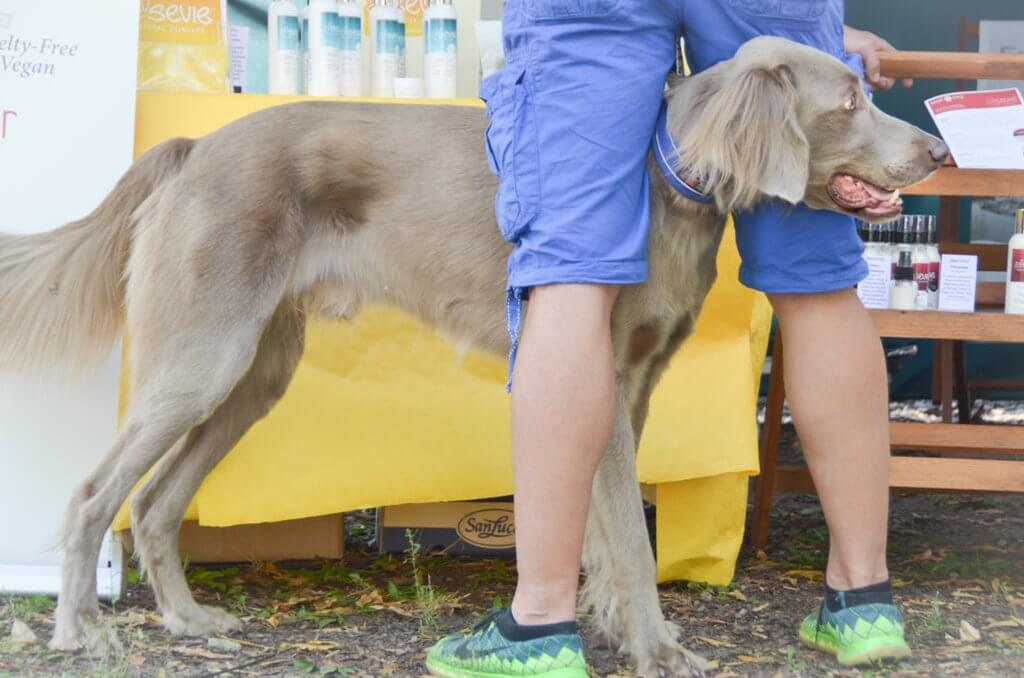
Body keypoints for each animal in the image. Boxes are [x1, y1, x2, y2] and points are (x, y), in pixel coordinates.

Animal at [0, 37, 946, 676]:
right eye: (849, 100)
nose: (939, 150)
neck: (659, 177)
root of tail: (195, 150)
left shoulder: (637, 387)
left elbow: (605, 535)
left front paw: (613, 627)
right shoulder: (604, 382)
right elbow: (631, 542)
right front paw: (656, 648)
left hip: (251, 375)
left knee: (155, 503)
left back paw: (190, 621)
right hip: (206, 356)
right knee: (94, 496)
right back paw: (80, 628)